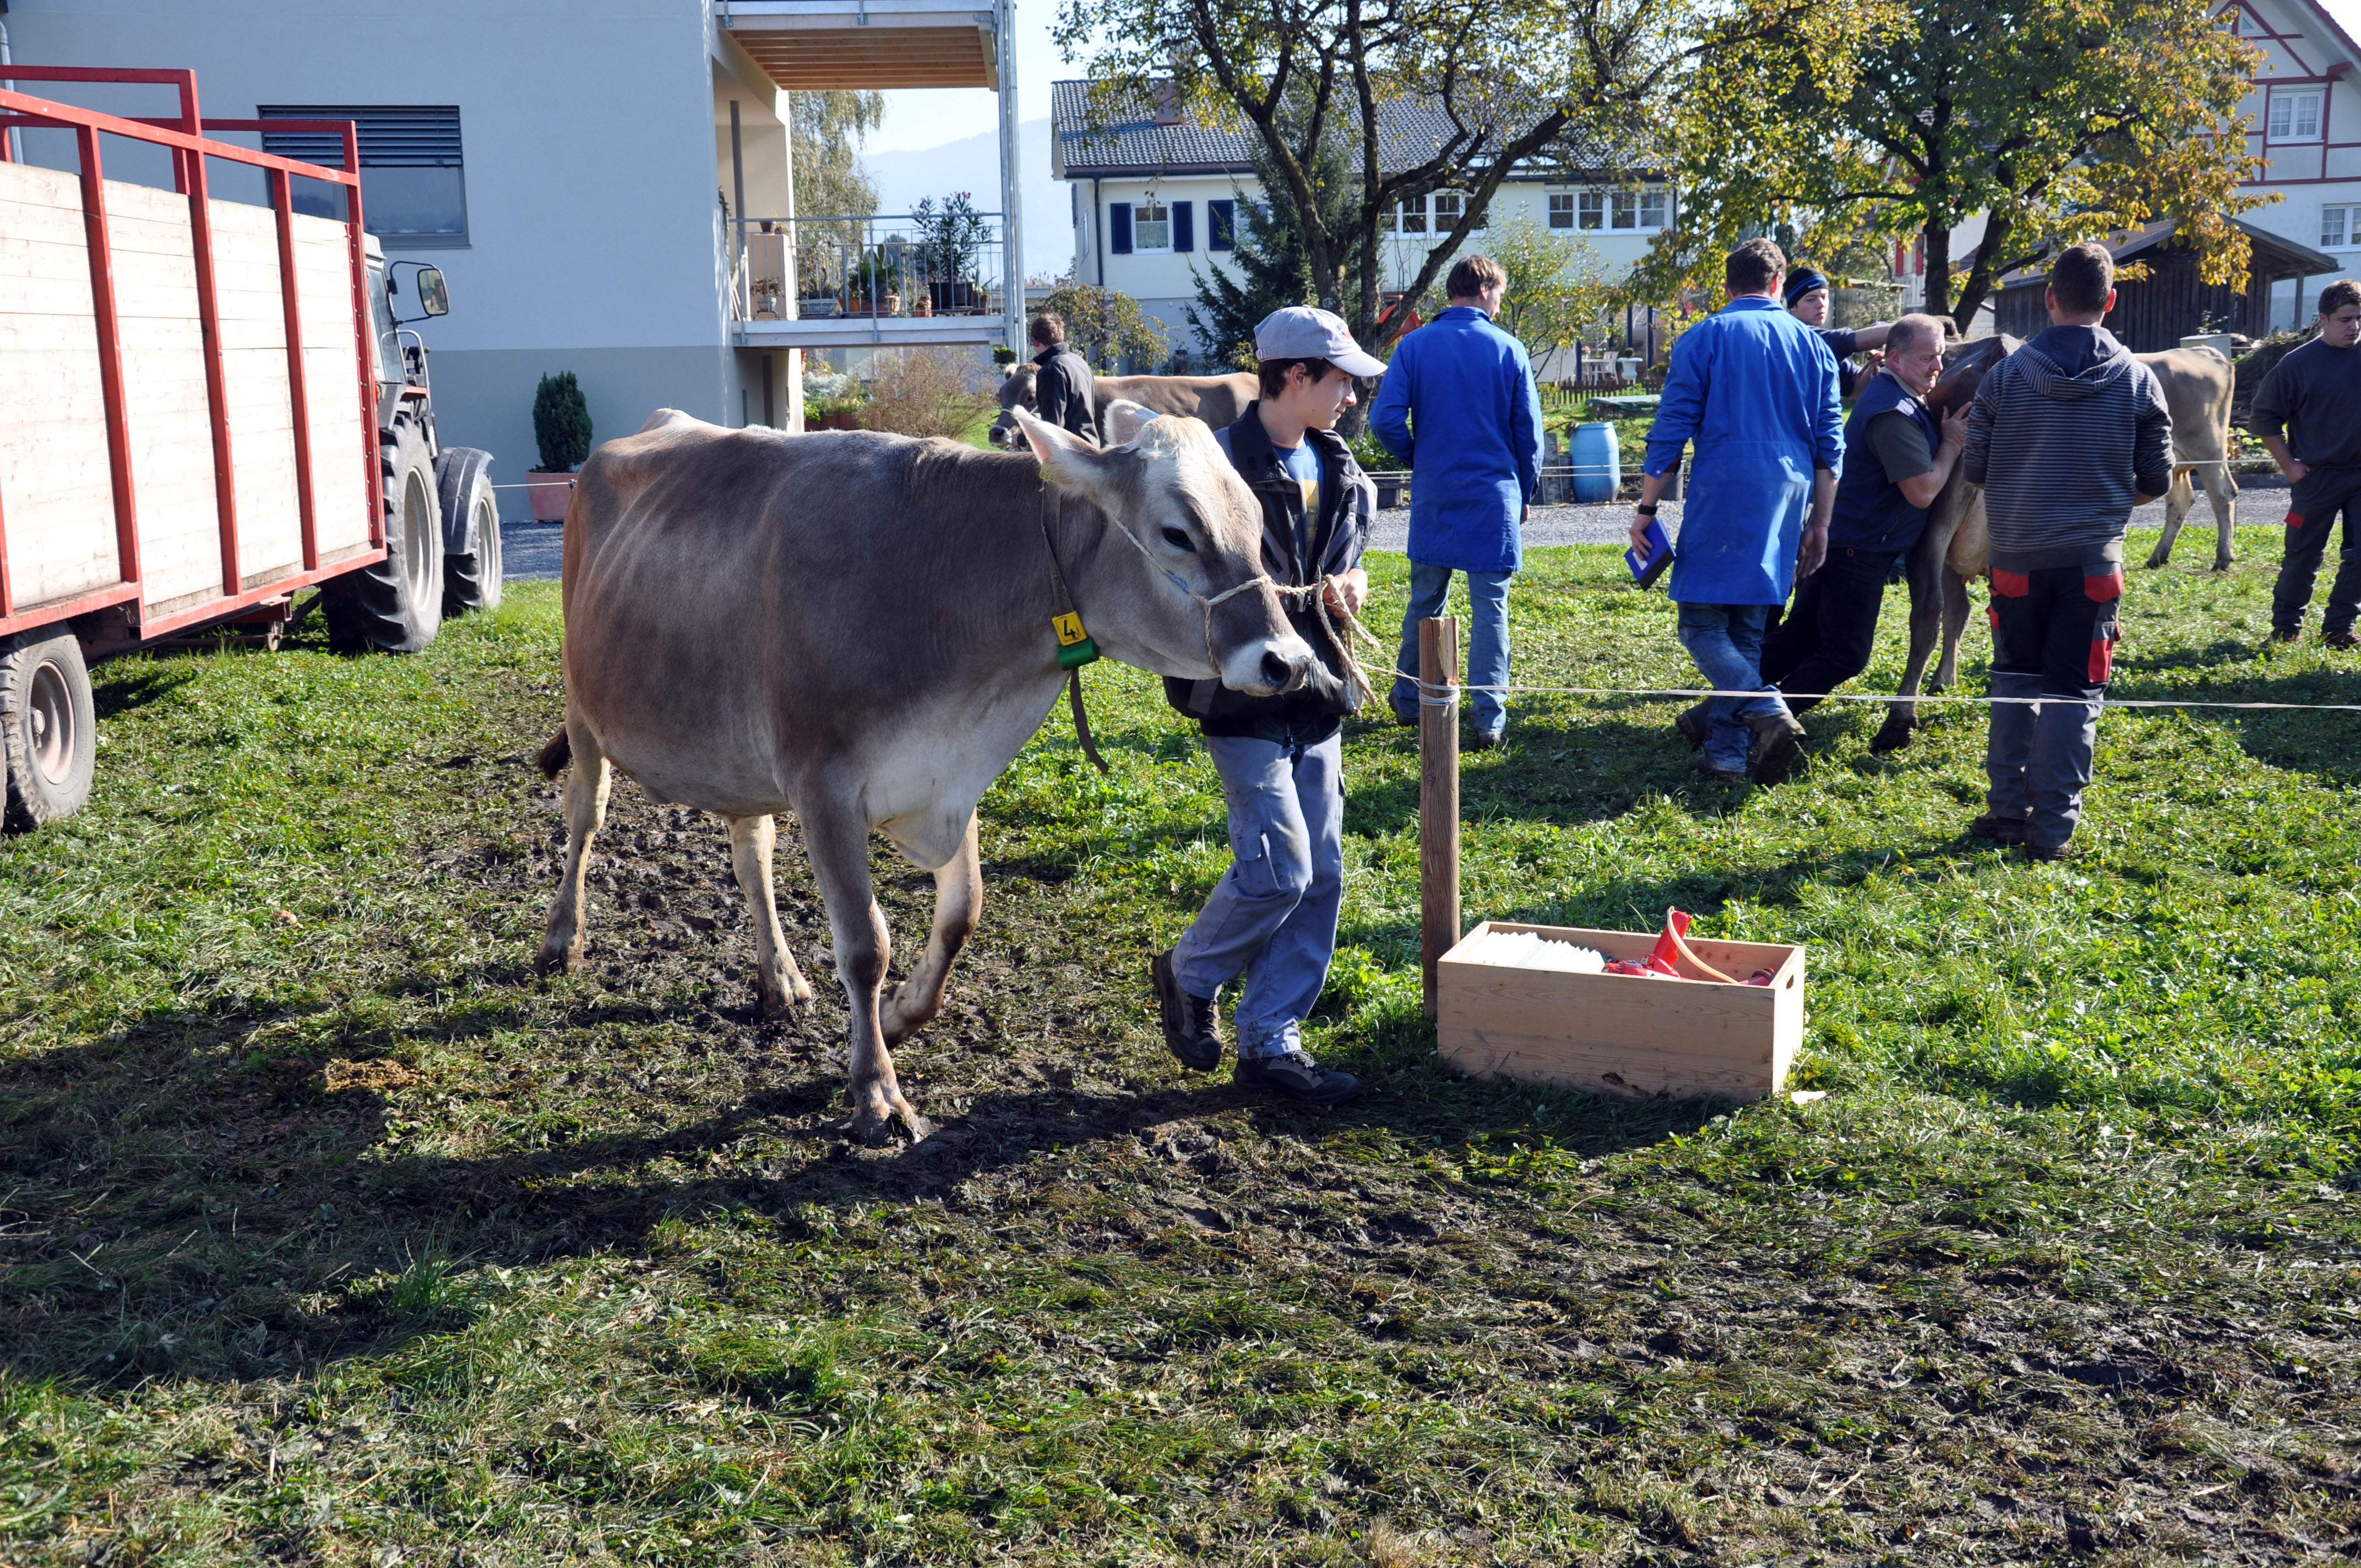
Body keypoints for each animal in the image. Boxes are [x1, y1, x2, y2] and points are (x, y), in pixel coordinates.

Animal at [535, 406, 1314, 1144]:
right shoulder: (823, 786)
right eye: (1177, 532)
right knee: (586, 815)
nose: (1290, 661)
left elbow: (963, 913)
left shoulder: (946, 779)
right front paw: (877, 1093)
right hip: (583, 703)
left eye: (1256, 522)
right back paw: (561, 940)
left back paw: (780, 977)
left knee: (750, 851)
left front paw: (900, 1015)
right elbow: (864, 946)